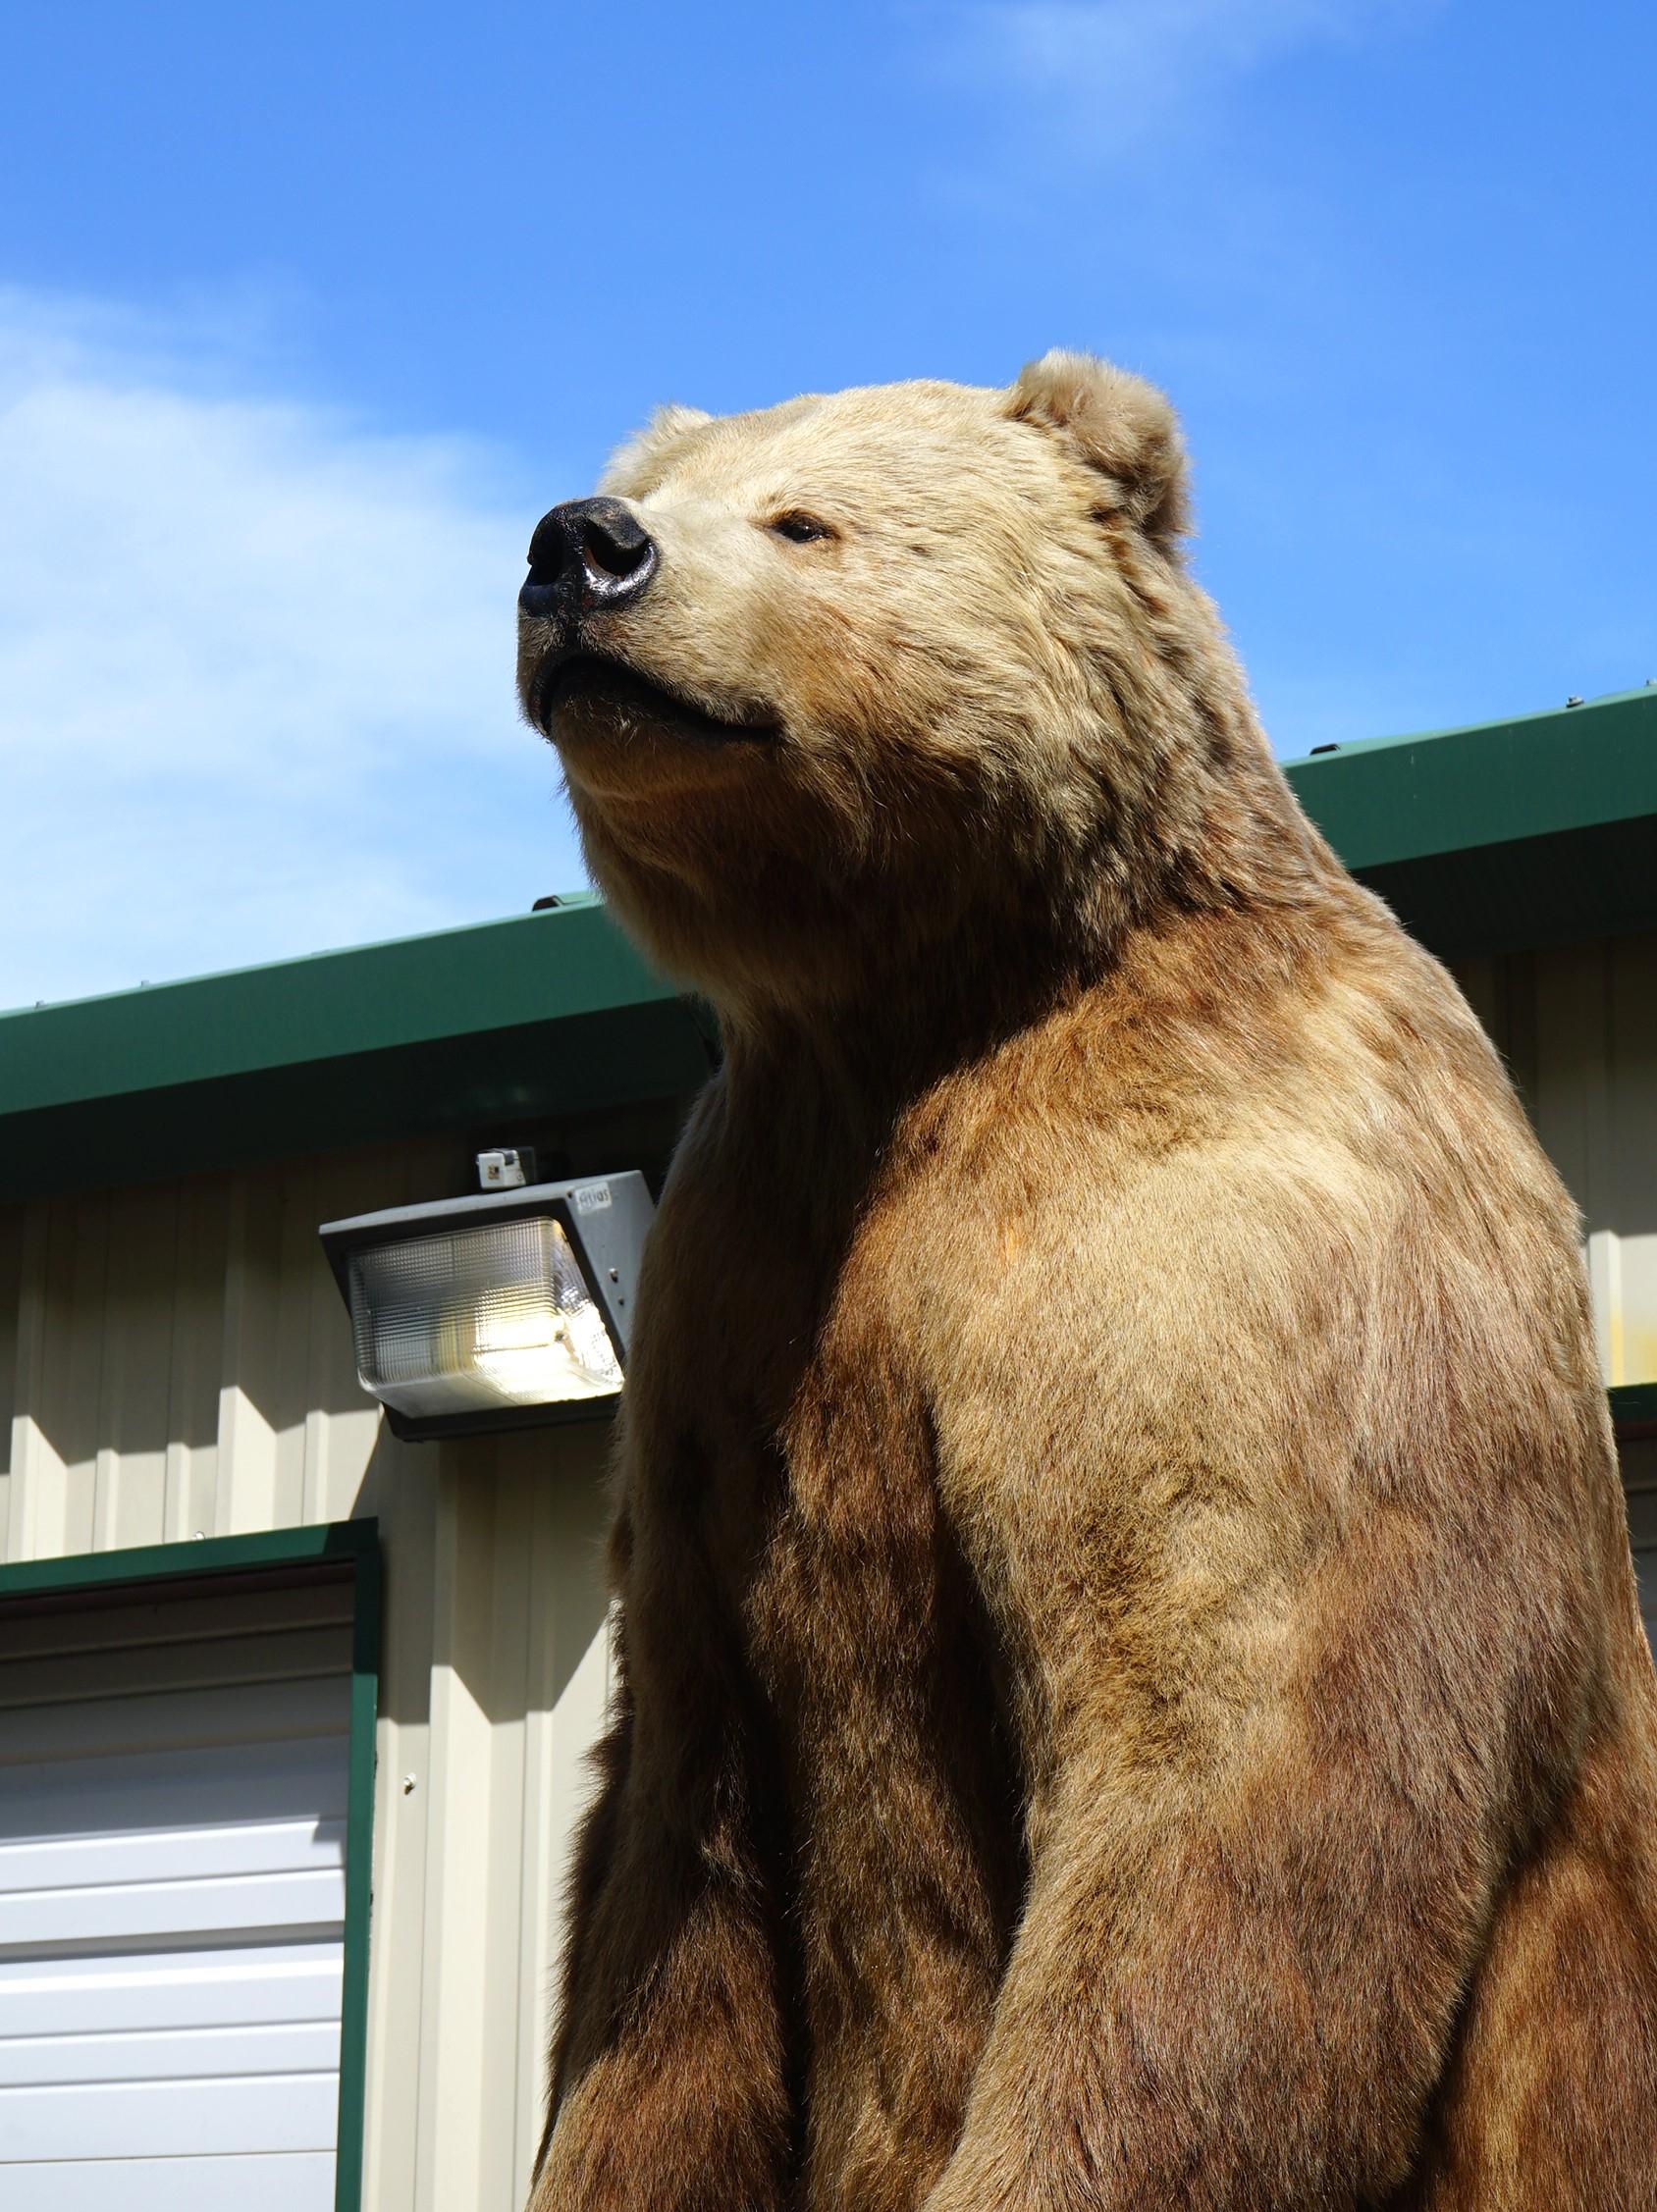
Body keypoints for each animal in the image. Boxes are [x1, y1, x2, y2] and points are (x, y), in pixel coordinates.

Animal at [512, 353, 1654, 2202]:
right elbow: (670, 1885)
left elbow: (1218, 1743)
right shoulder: (730, 1304)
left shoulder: (1226, 1248)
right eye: (672, 483)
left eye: (804, 518)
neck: (915, 1007)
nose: (585, 546)